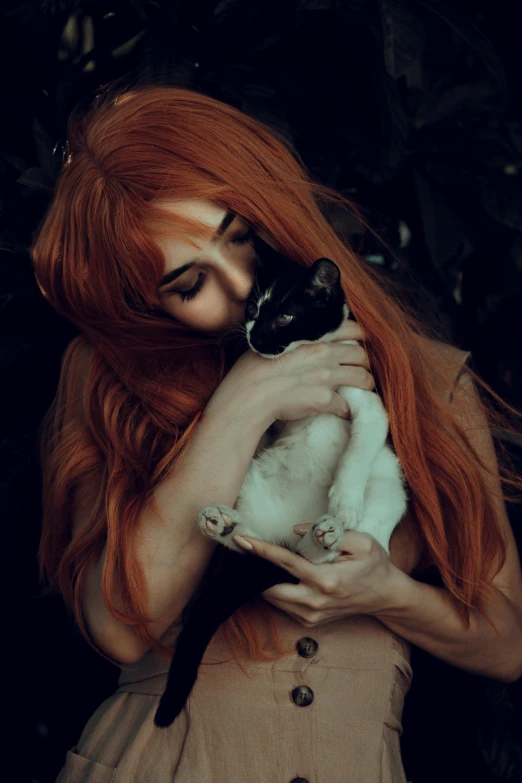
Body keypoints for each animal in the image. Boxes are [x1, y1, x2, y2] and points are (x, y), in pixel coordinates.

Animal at [154, 237, 406, 728]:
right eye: (253, 309)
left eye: (286, 316)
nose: (254, 337)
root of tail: (286, 529)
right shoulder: (271, 426)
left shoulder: (368, 404)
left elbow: (358, 448)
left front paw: (343, 501)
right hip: (254, 478)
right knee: (258, 543)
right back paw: (224, 523)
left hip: (389, 485)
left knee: (321, 555)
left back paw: (327, 532)